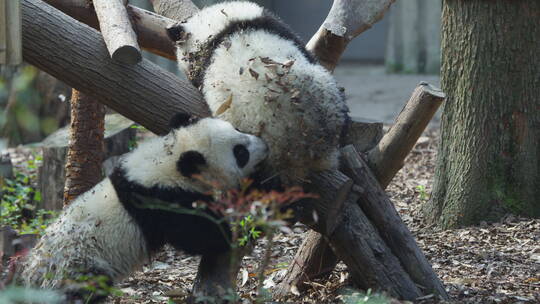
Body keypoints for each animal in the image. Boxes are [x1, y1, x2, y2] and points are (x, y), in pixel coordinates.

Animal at [19, 113, 268, 302]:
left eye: (237, 128)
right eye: (240, 153)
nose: (264, 146)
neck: (168, 158)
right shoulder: (161, 201)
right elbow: (201, 236)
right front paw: (242, 226)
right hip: (78, 266)